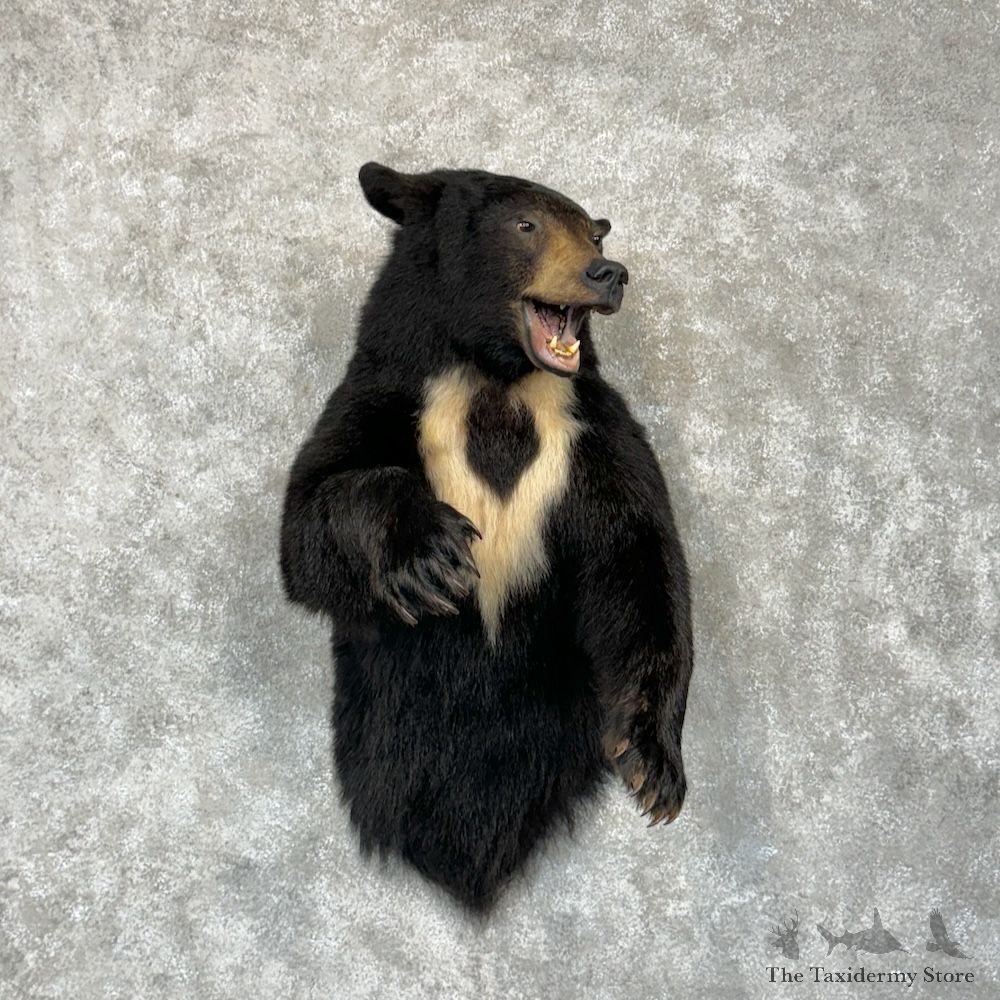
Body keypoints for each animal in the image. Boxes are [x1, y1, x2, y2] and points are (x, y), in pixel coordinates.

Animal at [280, 163, 693, 911]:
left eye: (592, 231)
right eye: (525, 225)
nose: (608, 272)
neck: (499, 377)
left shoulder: (590, 433)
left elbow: (641, 558)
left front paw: (652, 766)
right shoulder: (391, 396)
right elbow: (312, 513)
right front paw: (432, 558)